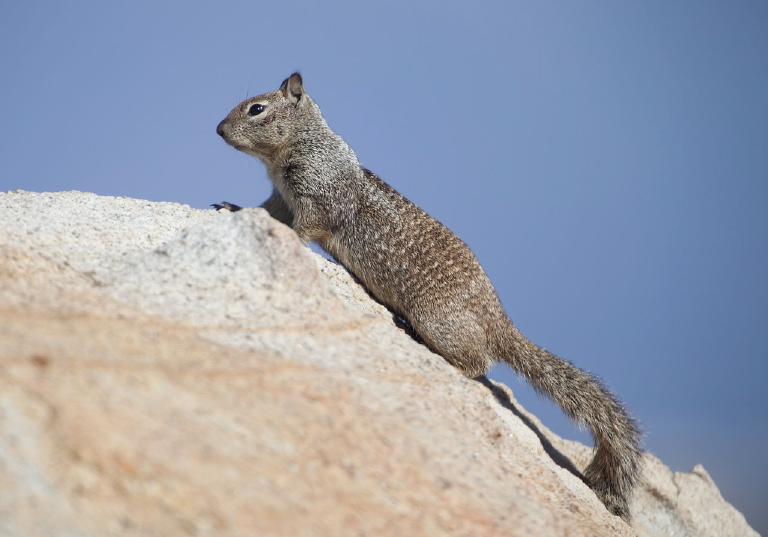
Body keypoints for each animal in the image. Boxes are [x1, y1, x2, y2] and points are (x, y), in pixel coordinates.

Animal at [214, 72, 640, 520]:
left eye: (256, 108)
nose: (219, 129)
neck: (299, 146)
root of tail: (498, 319)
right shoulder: (281, 196)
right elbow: (268, 213)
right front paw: (233, 207)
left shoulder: (316, 198)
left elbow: (304, 228)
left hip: (439, 322)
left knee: (478, 362)